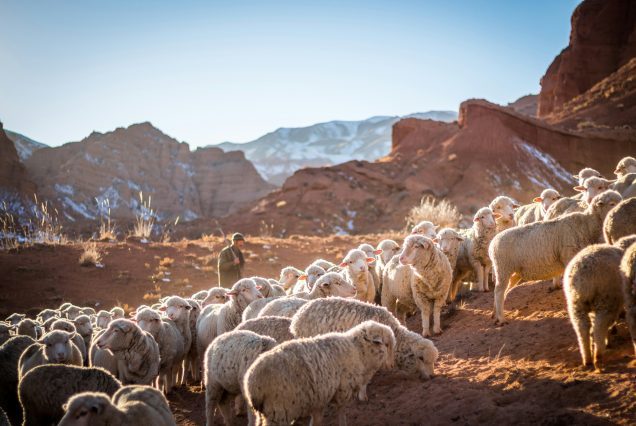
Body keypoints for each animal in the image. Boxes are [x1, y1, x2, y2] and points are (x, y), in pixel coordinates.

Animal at [242, 322, 392, 424]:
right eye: (387, 344)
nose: (391, 366)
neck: (358, 351)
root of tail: (251, 385)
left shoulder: (320, 396)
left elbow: (317, 419)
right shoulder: (343, 391)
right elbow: (341, 412)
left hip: (266, 412)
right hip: (278, 410)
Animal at [492, 188, 620, 324]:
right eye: (612, 204)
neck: (587, 224)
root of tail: (493, 242)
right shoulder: (568, 256)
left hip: (514, 273)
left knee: (503, 291)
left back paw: (496, 314)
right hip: (503, 268)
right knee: (499, 291)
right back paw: (501, 318)